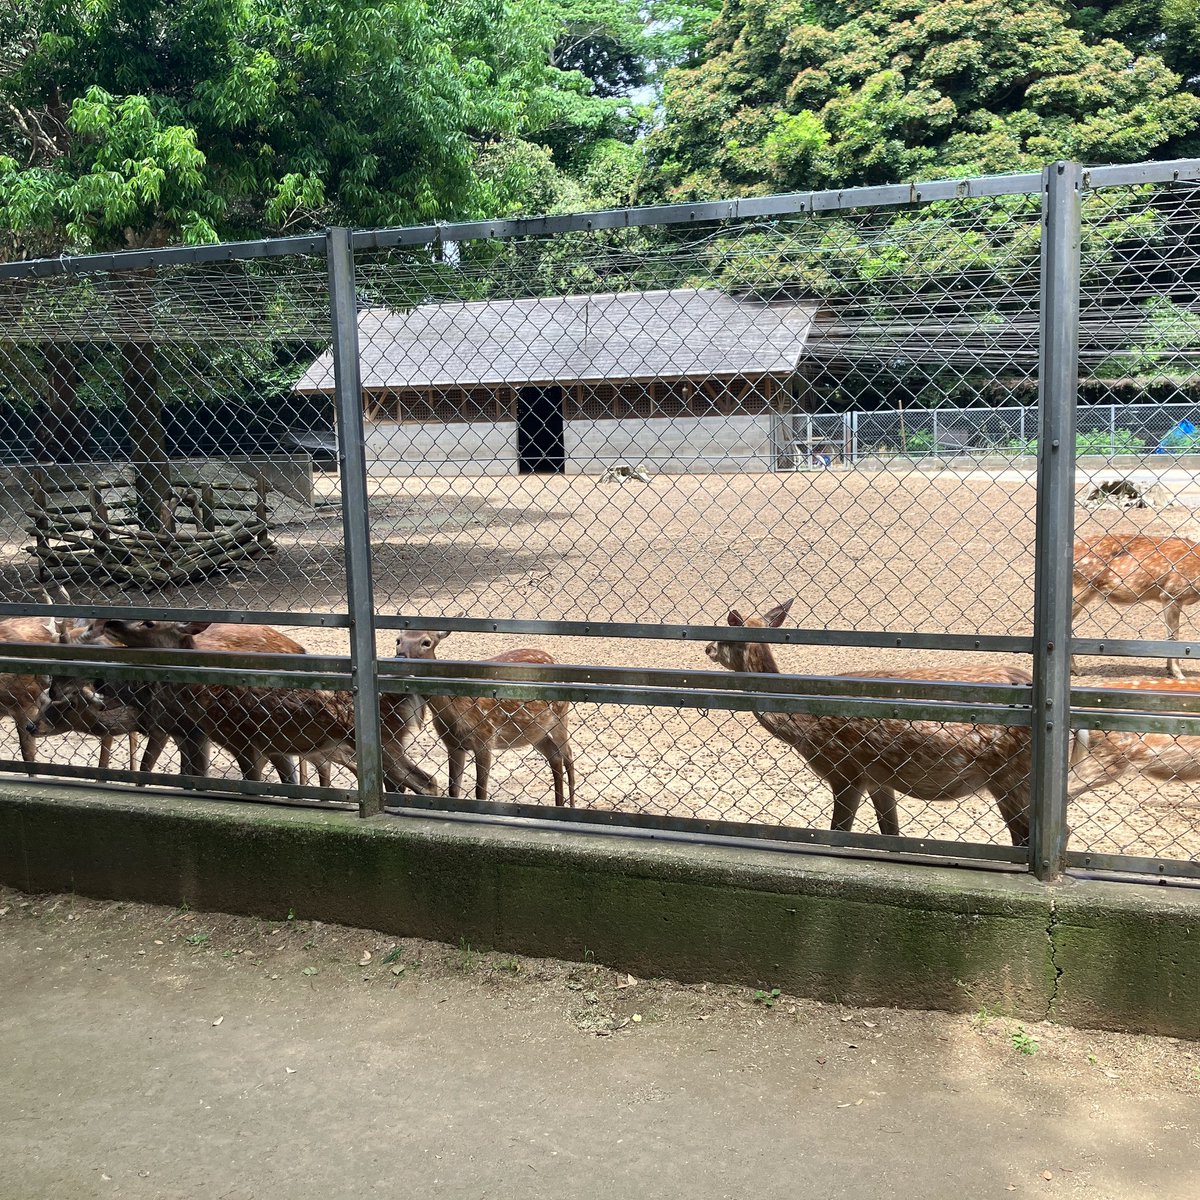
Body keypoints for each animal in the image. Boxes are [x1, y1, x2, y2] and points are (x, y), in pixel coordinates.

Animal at [31, 618, 435, 795]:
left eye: (149, 622)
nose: (109, 621)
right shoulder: (234, 740)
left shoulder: (237, 739)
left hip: (380, 743)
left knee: (424, 781)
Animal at [394, 630, 576, 807]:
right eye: (398, 640)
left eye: (426, 642)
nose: (400, 656)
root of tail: (553, 658)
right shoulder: (453, 744)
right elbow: (453, 790)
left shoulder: (486, 738)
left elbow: (480, 792)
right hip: (536, 732)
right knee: (554, 756)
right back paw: (559, 805)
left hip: (561, 715)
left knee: (568, 755)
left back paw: (571, 806)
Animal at [704, 599, 1102, 846]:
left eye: (723, 635)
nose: (706, 647)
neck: (803, 726)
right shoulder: (879, 778)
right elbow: (891, 833)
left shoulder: (845, 770)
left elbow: (838, 832)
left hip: (1012, 775)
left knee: (1030, 835)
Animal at [1073, 535, 1200, 680]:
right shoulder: (1172, 593)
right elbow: (1175, 636)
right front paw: (1179, 674)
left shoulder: (1165, 598)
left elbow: (1169, 634)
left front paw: (1169, 669)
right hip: (1082, 588)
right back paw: (1077, 670)